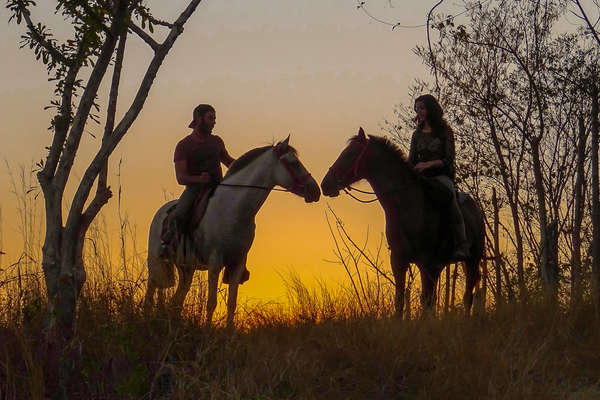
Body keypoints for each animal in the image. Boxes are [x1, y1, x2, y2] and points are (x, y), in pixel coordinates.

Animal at [145, 137, 322, 324]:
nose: (315, 190)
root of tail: (160, 213)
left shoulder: (237, 263)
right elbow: (211, 303)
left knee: (176, 302)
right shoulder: (215, 262)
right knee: (150, 298)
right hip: (156, 266)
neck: (234, 209)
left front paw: (229, 330)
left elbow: (231, 303)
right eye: (294, 163)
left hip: (186, 268)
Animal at [322, 128, 486, 316]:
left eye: (350, 154)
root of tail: (476, 209)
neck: (408, 207)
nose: (325, 184)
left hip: (472, 261)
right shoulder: (399, 262)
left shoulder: (428, 264)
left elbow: (427, 303)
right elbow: (400, 300)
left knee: (468, 297)